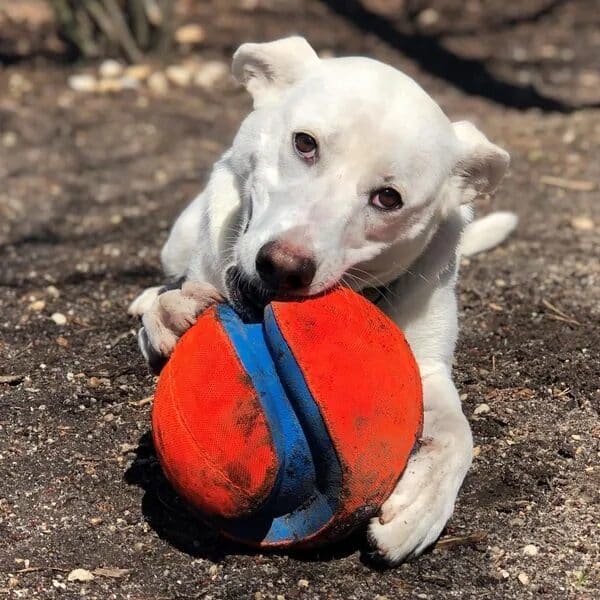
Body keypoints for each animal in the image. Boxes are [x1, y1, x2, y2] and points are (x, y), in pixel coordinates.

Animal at [130, 37, 516, 564]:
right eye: (304, 143)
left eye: (389, 198)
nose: (284, 267)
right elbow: (170, 307)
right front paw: (171, 312)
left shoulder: (429, 368)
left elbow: (459, 432)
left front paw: (421, 501)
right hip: (182, 234)